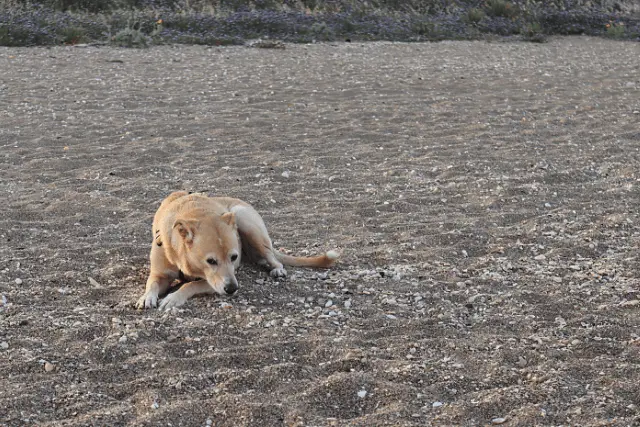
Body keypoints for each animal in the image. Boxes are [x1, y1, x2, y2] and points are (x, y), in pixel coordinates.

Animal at [132, 193, 338, 310]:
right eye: (211, 261)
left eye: (233, 257)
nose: (232, 289)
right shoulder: (160, 274)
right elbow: (152, 284)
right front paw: (146, 297)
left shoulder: (213, 283)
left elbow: (190, 285)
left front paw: (173, 298)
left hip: (244, 219)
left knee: (272, 256)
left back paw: (276, 268)